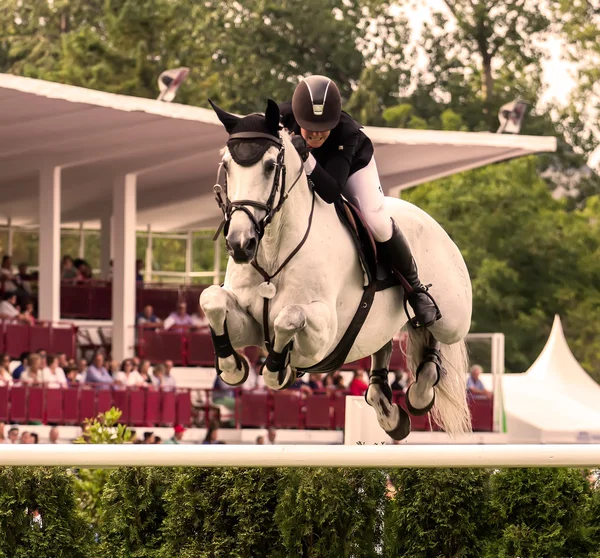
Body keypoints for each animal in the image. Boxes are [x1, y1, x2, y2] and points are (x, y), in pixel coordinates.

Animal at [202, 100, 474, 442]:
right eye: (226, 166)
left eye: (269, 165)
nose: (240, 243)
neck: (273, 253)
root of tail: (434, 224)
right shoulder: (247, 322)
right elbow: (211, 299)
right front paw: (232, 366)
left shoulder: (323, 334)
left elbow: (288, 317)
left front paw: (279, 369)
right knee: (387, 346)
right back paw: (388, 410)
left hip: (454, 318)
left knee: (433, 329)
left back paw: (421, 388)